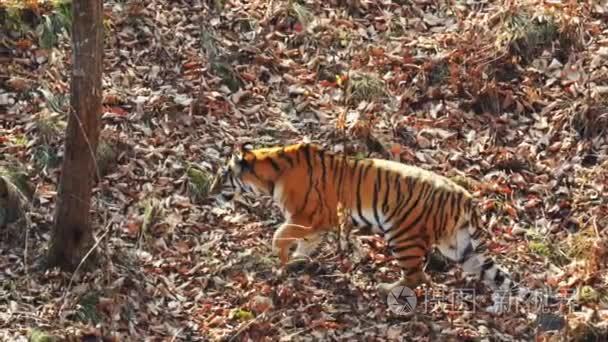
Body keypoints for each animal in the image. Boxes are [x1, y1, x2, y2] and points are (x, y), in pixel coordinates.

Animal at [210, 142, 536, 310]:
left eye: (223, 175)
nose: (210, 191)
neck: (270, 173)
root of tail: (466, 198)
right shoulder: (318, 221)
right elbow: (306, 244)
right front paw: (298, 262)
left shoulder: (307, 216)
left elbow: (280, 234)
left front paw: (281, 260)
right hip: (461, 248)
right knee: (496, 275)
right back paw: (498, 305)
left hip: (403, 235)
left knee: (417, 276)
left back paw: (386, 289)